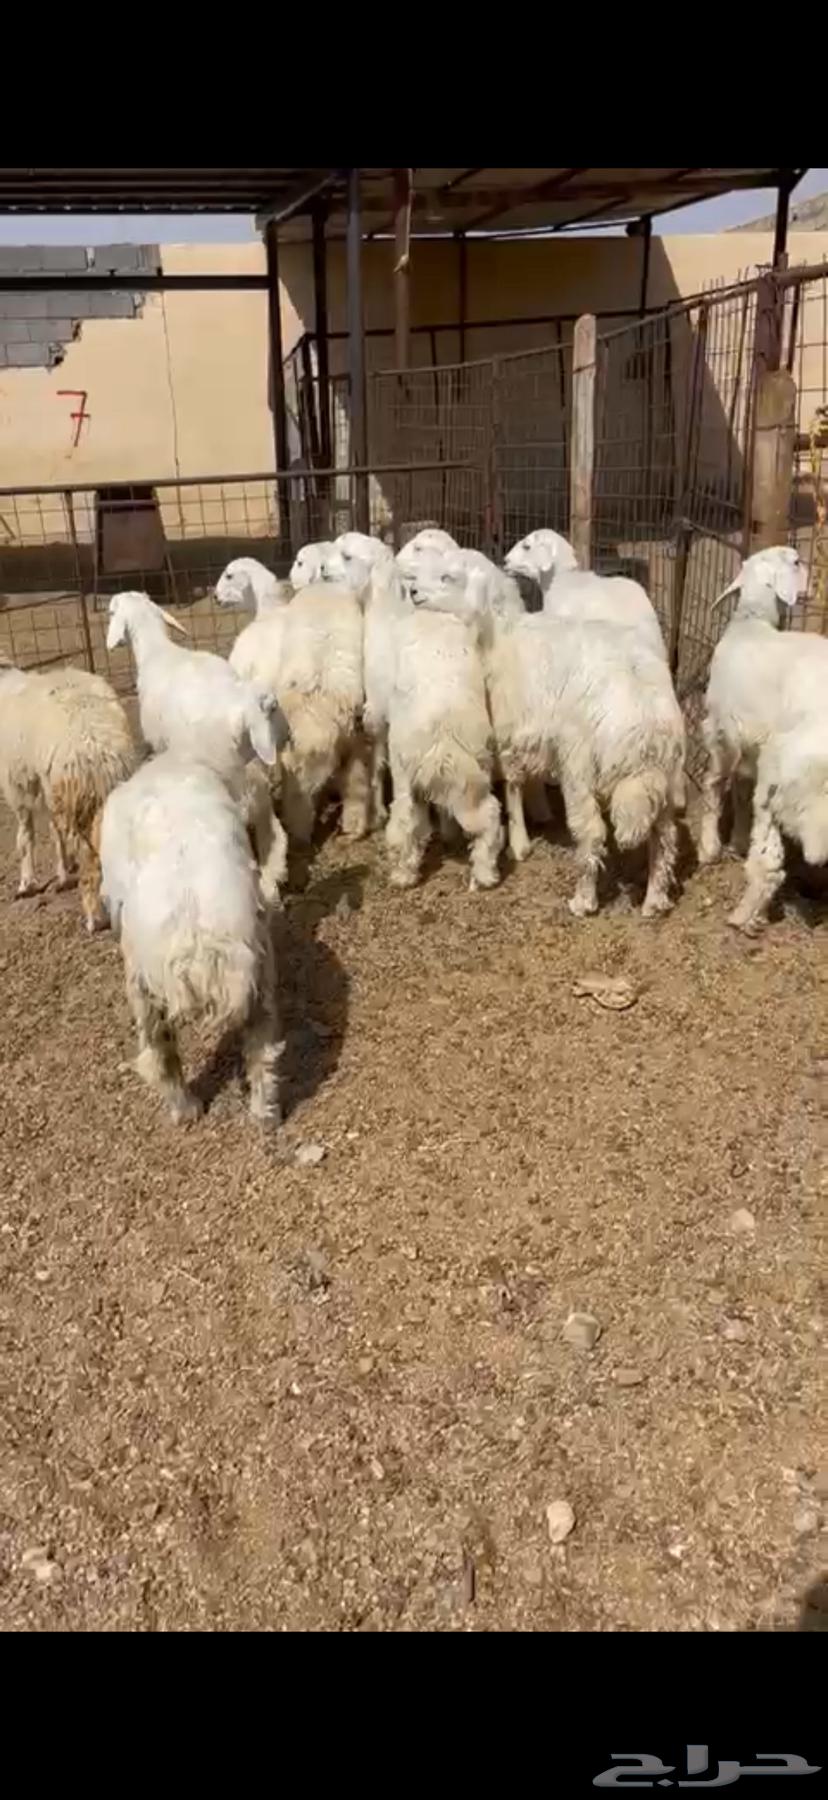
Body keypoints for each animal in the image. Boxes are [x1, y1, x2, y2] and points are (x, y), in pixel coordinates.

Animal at [0, 659, 137, 931]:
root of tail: (102, 753)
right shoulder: (47, 791)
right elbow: (54, 833)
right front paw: (63, 871)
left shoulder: (18, 788)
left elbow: (25, 837)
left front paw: (26, 883)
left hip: (77, 803)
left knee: (90, 861)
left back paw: (94, 918)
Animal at [100, 752, 282, 1129]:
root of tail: (196, 938)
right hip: (256, 973)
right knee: (260, 1049)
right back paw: (261, 1114)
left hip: (146, 987)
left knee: (161, 1056)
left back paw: (191, 1110)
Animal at [412, 555, 685, 918]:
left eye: (447, 576)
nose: (412, 591)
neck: (500, 635)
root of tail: (646, 729)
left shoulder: (510, 726)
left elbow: (512, 782)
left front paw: (519, 841)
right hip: (666, 779)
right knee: (665, 838)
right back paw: (654, 899)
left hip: (580, 765)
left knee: (592, 834)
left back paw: (583, 900)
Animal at [697, 546, 828, 866]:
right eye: (796, 562)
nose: (814, 584)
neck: (750, 623)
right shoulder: (725, 731)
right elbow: (718, 785)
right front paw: (713, 846)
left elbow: (738, 789)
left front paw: (735, 841)